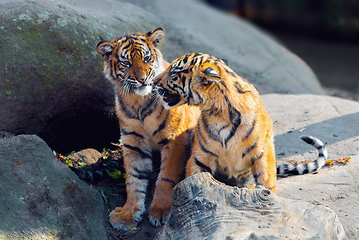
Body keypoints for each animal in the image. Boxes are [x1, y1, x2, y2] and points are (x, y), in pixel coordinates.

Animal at [97, 29, 201, 230]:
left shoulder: (174, 140)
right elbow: (134, 178)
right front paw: (128, 213)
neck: (138, 101)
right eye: (126, 63)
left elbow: (167, 177)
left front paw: (161, 210)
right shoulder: (133, 142)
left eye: (146, 58)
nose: (142, 79)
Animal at [155, 53, 330, 193]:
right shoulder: (200, 157)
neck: (218, 113)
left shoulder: (263, 154)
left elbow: (266, 183)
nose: (154, 81)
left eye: (173, 72)